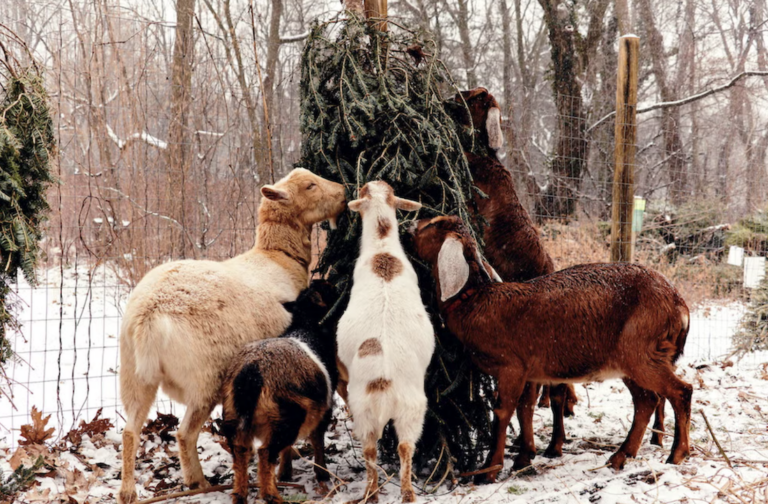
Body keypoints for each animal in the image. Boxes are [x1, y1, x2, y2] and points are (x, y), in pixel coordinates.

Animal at [221, 281, 340, 504]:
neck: (305, 325)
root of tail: (252, 371)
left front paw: (285, 473)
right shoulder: (325, 407)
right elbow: (317, 439)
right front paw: (322, 474)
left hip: (233, 416)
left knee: (240, 452)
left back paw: (240, 495)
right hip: (287, 418)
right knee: (265, 452)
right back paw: (272, 496)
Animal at [337, 181, 434, 503]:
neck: (382, 249)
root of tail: (383, 382)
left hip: (369, 412)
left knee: (374, 448)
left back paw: (379, 492)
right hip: (406, 409)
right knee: (400, 446)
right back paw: (402, 492)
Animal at [411, 215, 691, 482]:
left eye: (434, 224)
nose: (411, 224)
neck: (475, 303)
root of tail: (679, 305)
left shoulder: (511, 366)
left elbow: (503, 411)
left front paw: (488, 471)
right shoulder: (529, 370)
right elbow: (525, 409)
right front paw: (524, 458)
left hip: (640, 353)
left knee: (681, 391)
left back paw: (676, 454)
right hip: (630, 361)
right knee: (647, 400)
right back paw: (621, 457)